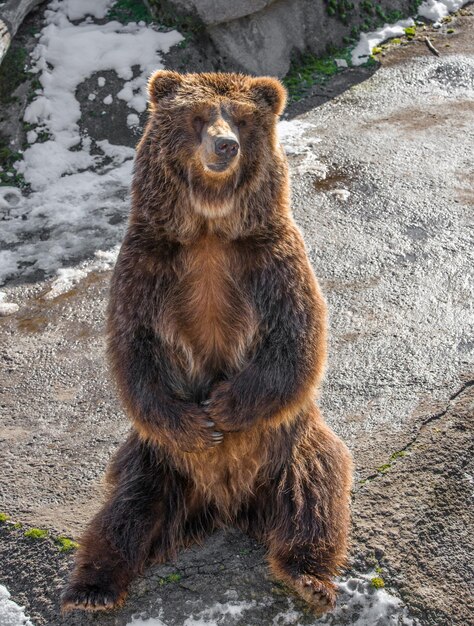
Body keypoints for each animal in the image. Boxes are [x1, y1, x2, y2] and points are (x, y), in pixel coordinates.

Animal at [61, 70, 354, 612]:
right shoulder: (148, 265)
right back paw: (91, 587)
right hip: (157, 461)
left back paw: (307, 575)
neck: (209, 227)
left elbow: (297, 341)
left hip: (291, 444)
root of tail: (227, 504)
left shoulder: (271, 260)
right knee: (125, 510)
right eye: (199, 116)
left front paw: (223, 408)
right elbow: (135, 351)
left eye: (239, 118)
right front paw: (202, 427)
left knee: (314, 491)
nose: (225, 144)